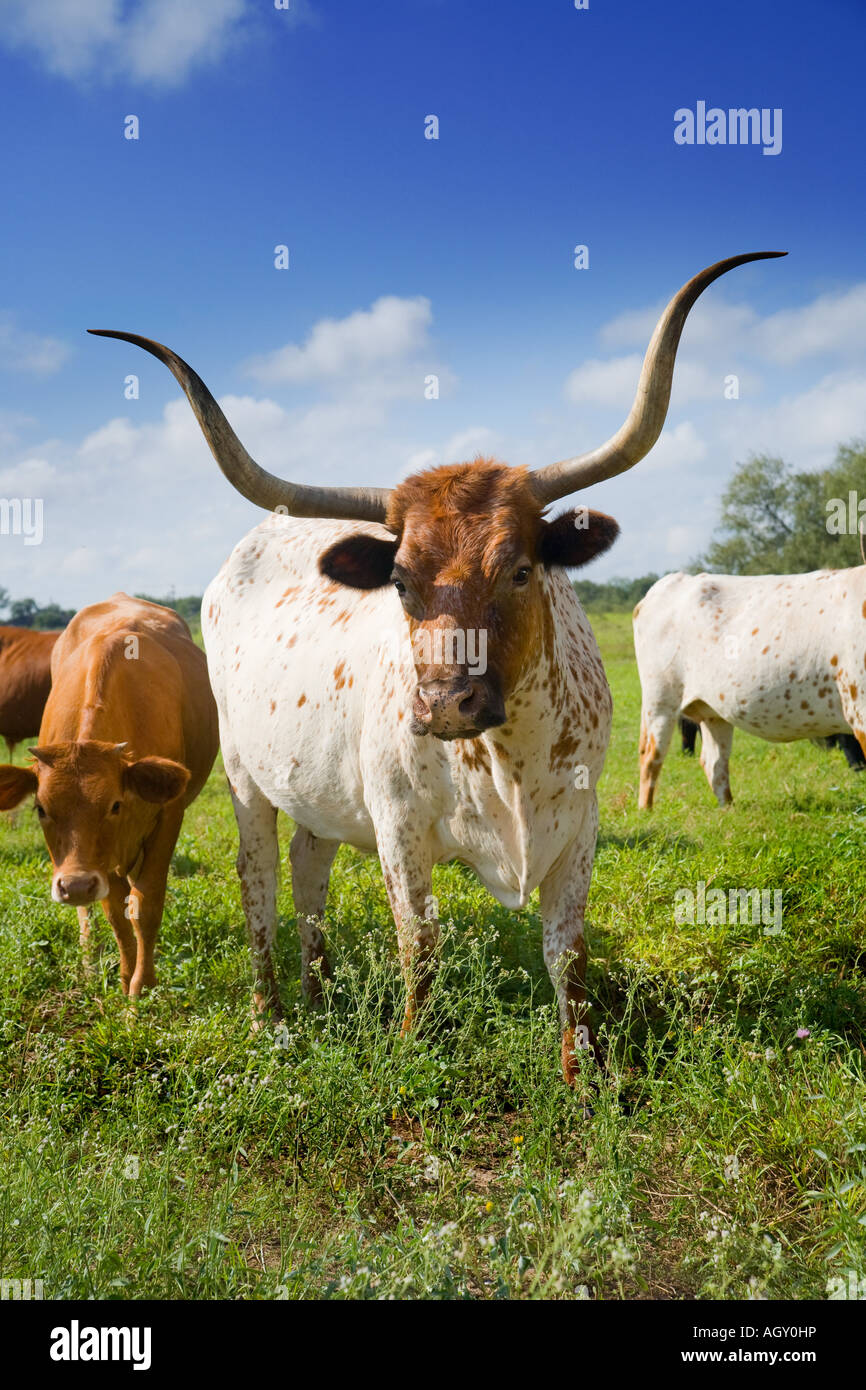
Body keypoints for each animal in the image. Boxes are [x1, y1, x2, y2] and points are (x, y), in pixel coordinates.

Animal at [90, 251, 783, 1082]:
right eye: (399, 582)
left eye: (520, 570)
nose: (447, 705)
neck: (507, 758)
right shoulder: (399, 828)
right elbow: (419, 946)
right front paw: (409, 1053)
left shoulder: (579, 829)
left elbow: (568, 955)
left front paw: (582, 1075)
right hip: (243, 777)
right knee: (258, 883)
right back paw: (272, 1019)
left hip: (317, 785)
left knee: (308, 869)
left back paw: (321, 996)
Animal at [635, 566, 866, 809]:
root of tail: (673, 580)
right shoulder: (859, 709)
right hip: (660, 700)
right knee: (651, 756)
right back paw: (645, 811)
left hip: (713, 711)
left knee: (714, 762)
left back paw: (728, 809)